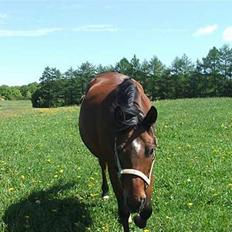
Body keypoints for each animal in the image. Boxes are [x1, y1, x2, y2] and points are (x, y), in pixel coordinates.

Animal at [79, 71, 158, 231]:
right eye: (119, 150)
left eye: (151, 150)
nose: (135, 202)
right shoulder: (113, 166)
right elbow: (123, 211)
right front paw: (130, 217)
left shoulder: (150, 169)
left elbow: (147, 209)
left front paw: (139, 218)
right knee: (102, 166)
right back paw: (105, 192)